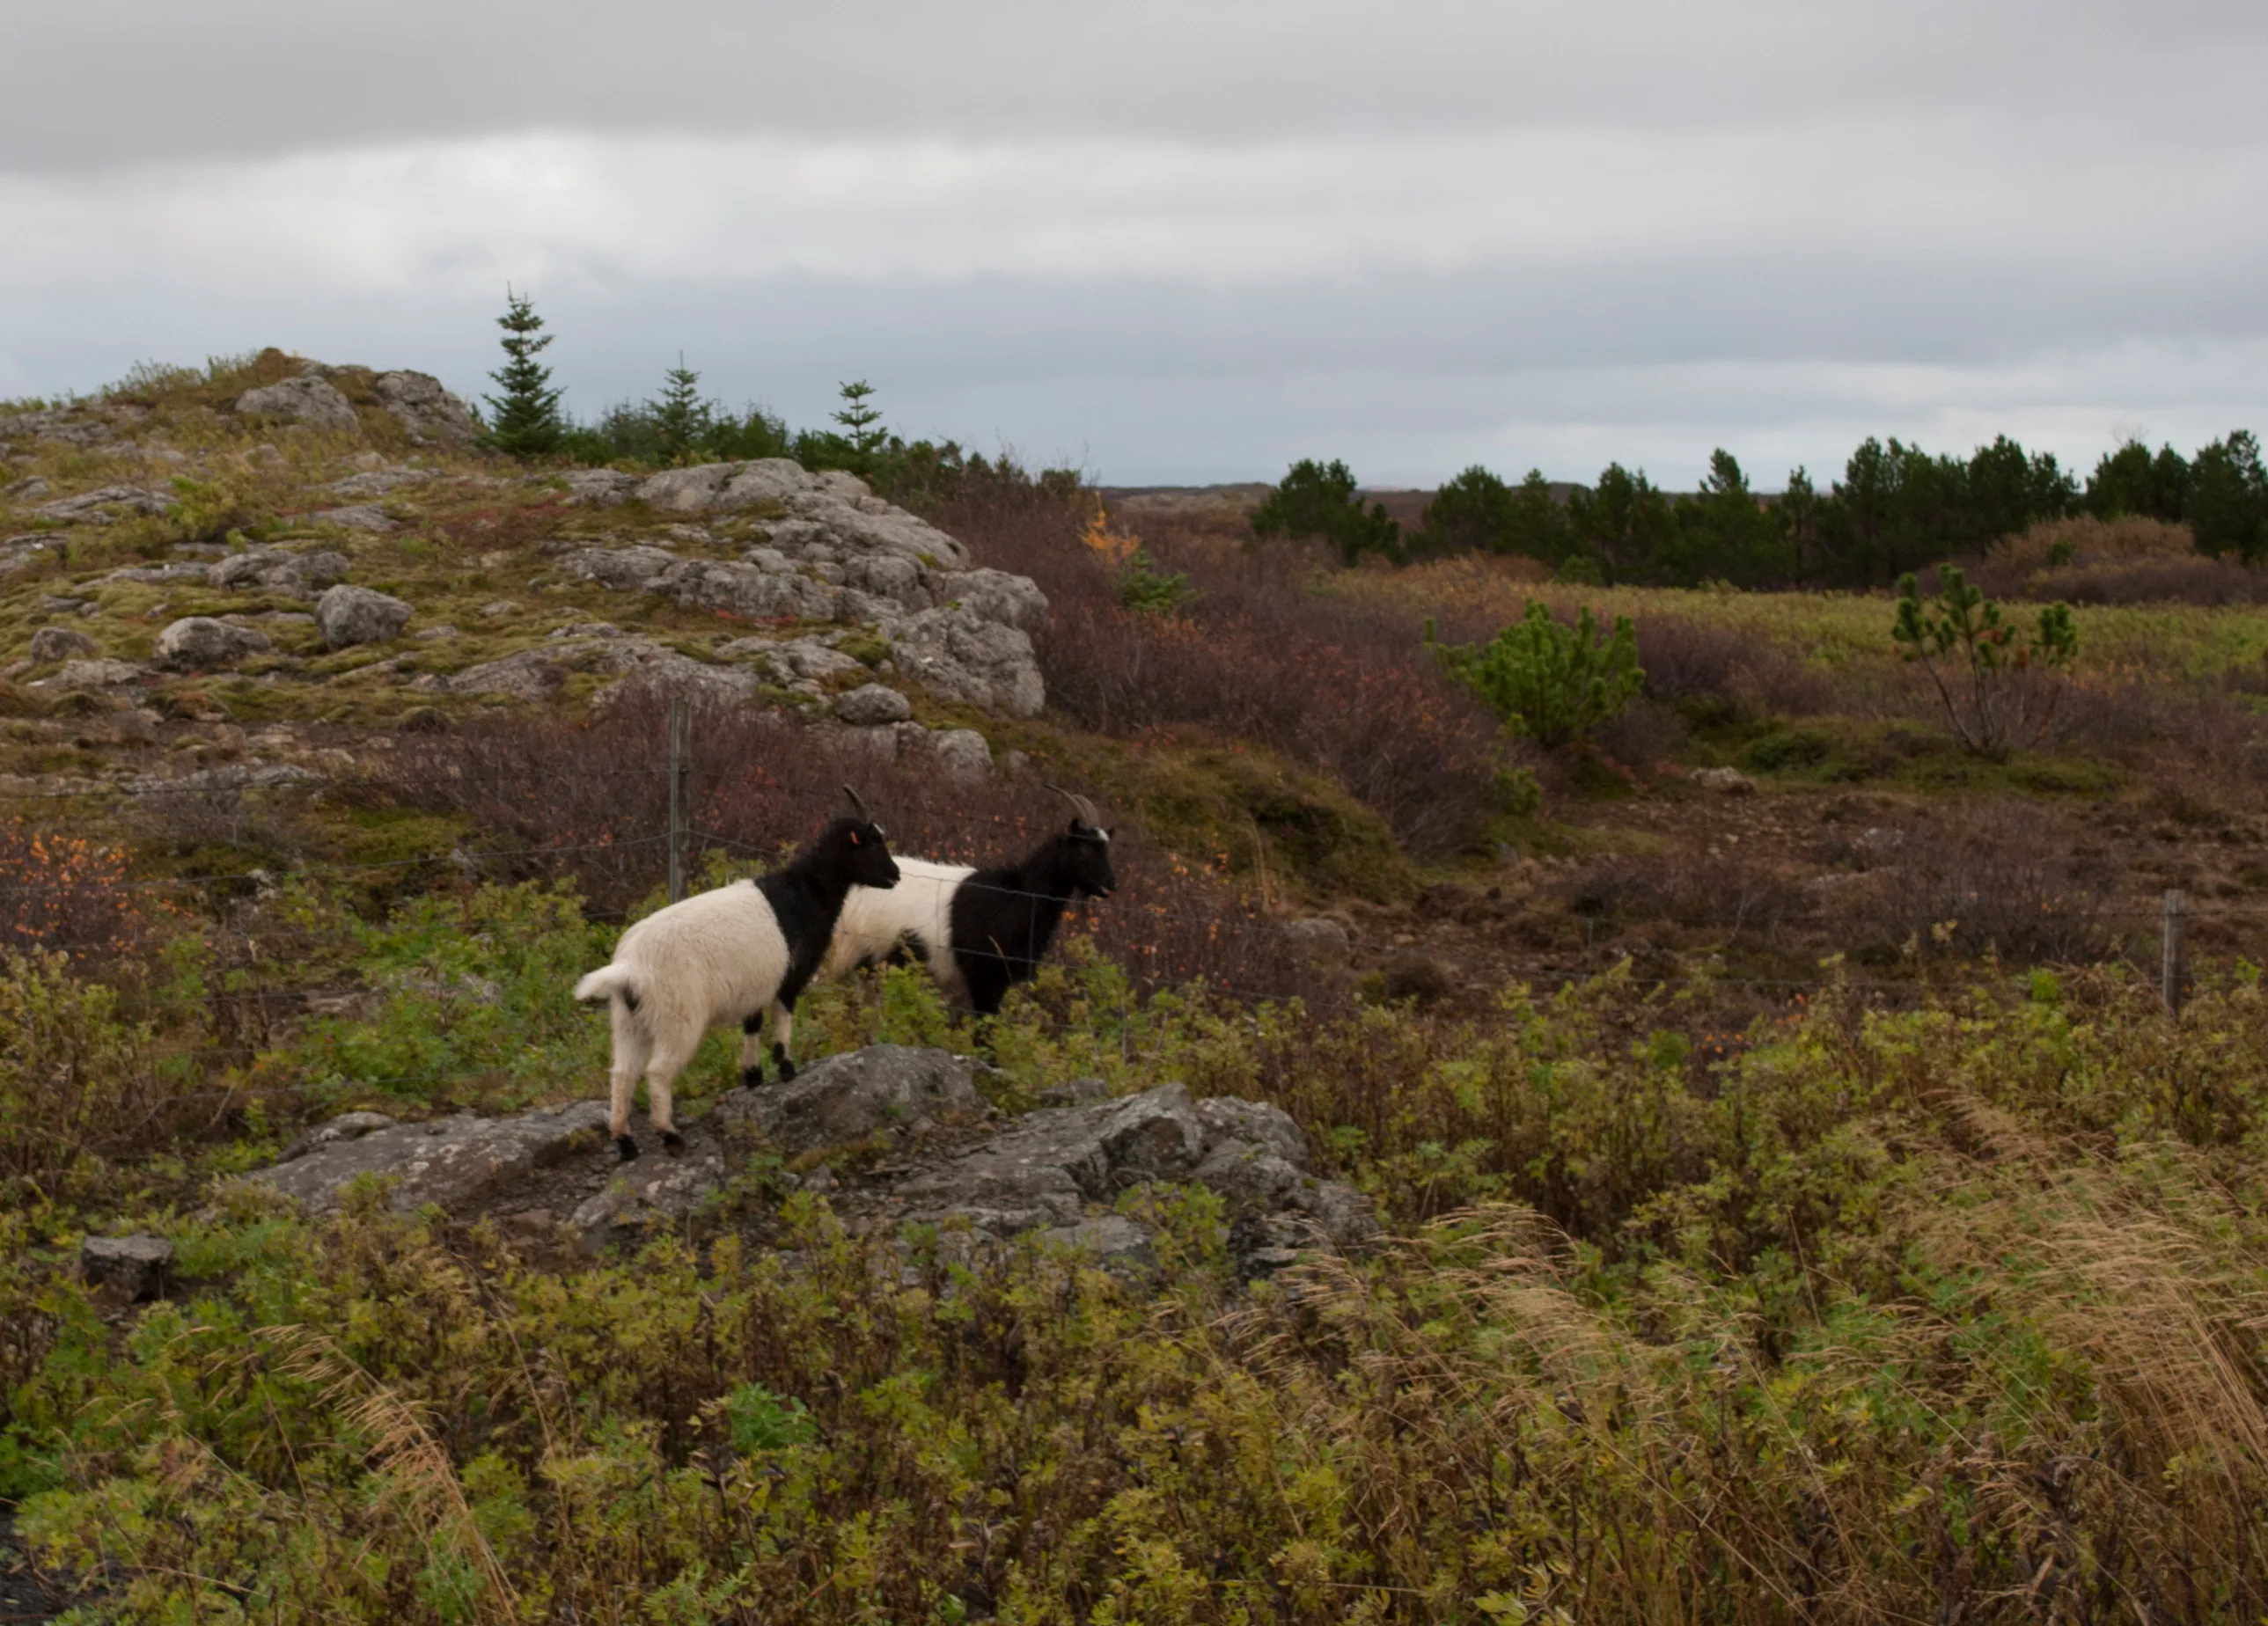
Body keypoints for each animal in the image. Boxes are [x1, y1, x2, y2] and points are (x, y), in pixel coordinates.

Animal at [574, 787, 899, 1160]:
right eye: (873, 841)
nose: (896, 875)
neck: (808, 893)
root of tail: (631, 967)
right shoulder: (790, 975)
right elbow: (783, 1017)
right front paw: (786, 1068)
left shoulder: (755, 986)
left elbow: (752, 1024)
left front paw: (753, 1075)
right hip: (677, 1016)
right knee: (657, 1072)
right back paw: (669, 1135)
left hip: (628, 1021)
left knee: (622, 1074)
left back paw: (625, 1143)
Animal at [821, 787, 1115, 1015]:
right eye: (1086, 847)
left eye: (1106, 847)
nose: (1110, 885)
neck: (1018, 897)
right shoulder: (985, 978)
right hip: (847, 953)